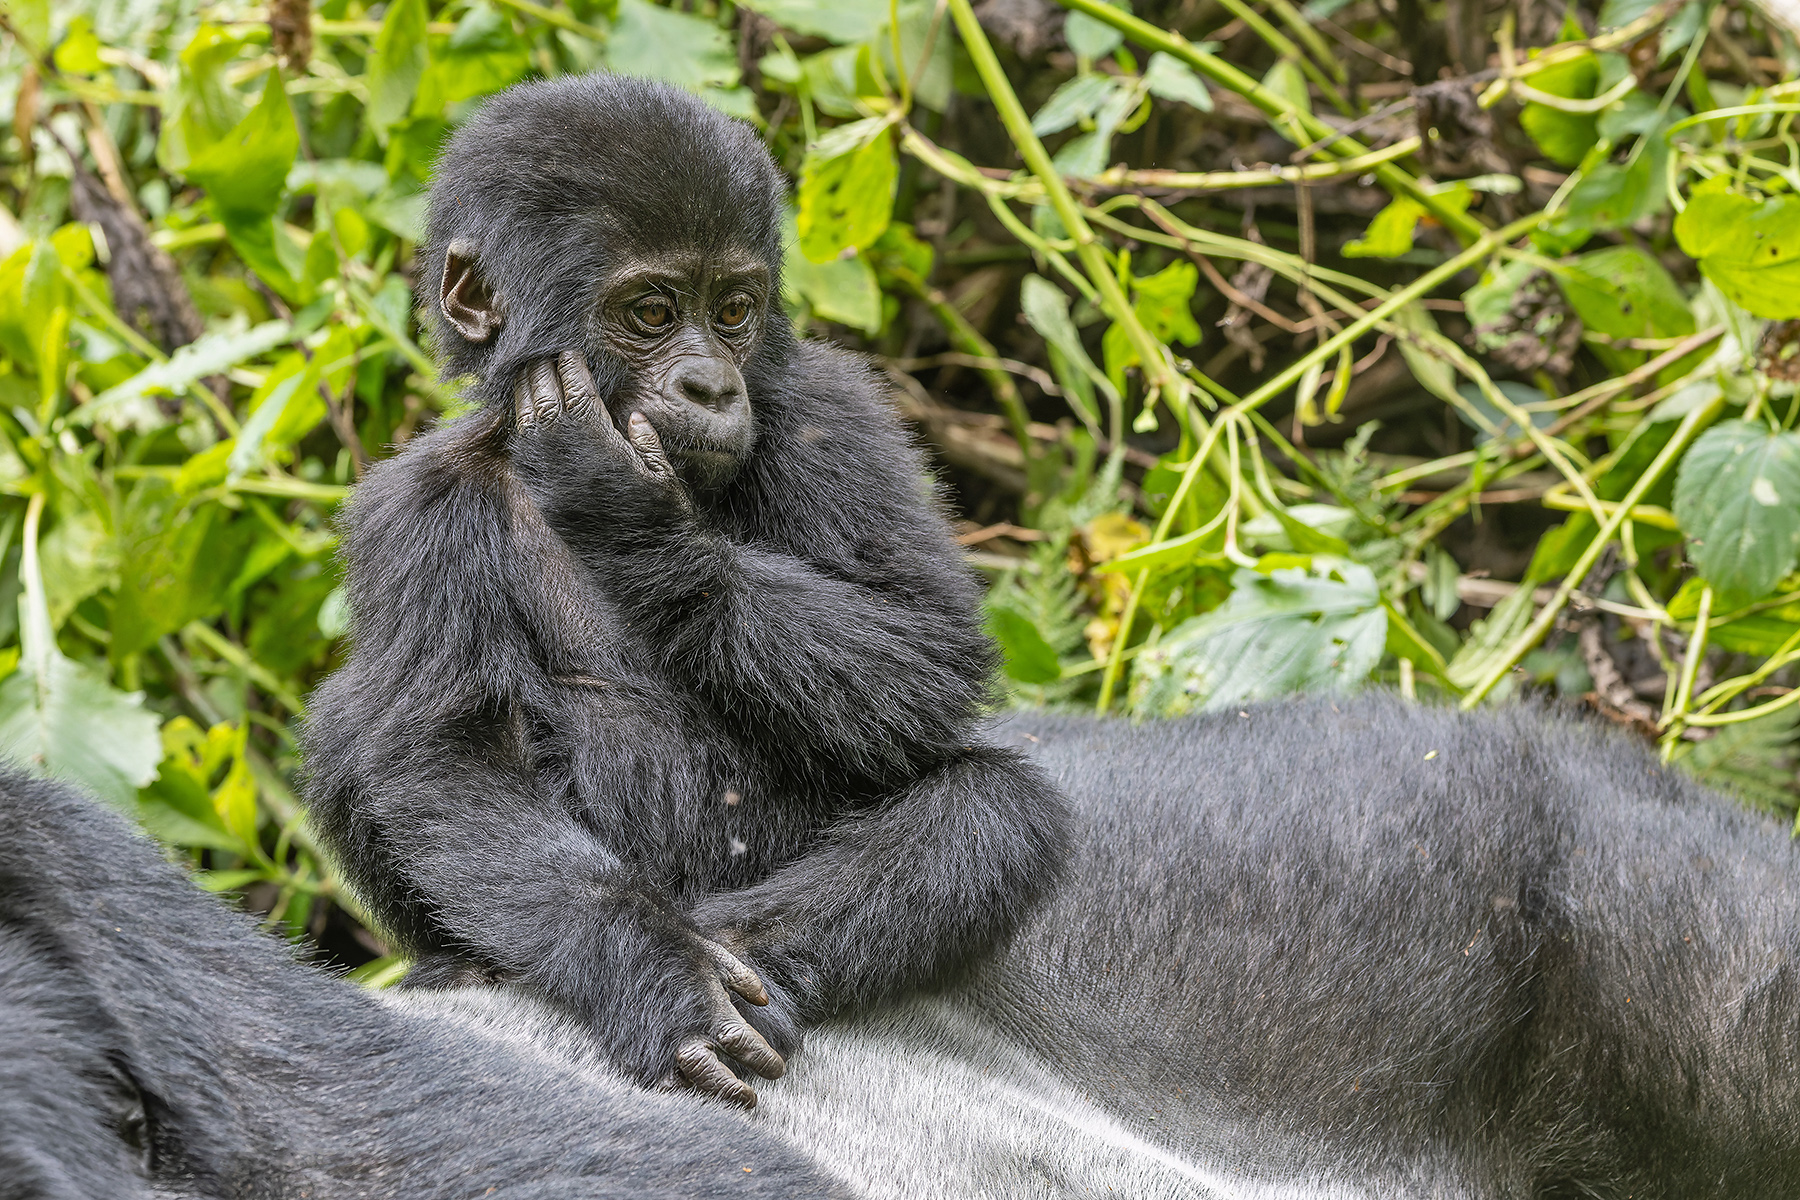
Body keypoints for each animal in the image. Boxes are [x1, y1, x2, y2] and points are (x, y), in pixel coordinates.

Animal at [300, 72, 1071, 1109]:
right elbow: (448, 754)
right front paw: (655, 973)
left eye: (735, 309)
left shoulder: (831, 412)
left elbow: (928, 645)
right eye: (654, 314)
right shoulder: (408, 512)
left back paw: (751, 955)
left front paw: (628, 515)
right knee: (352, 726)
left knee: (994, 808)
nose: (710, 387)